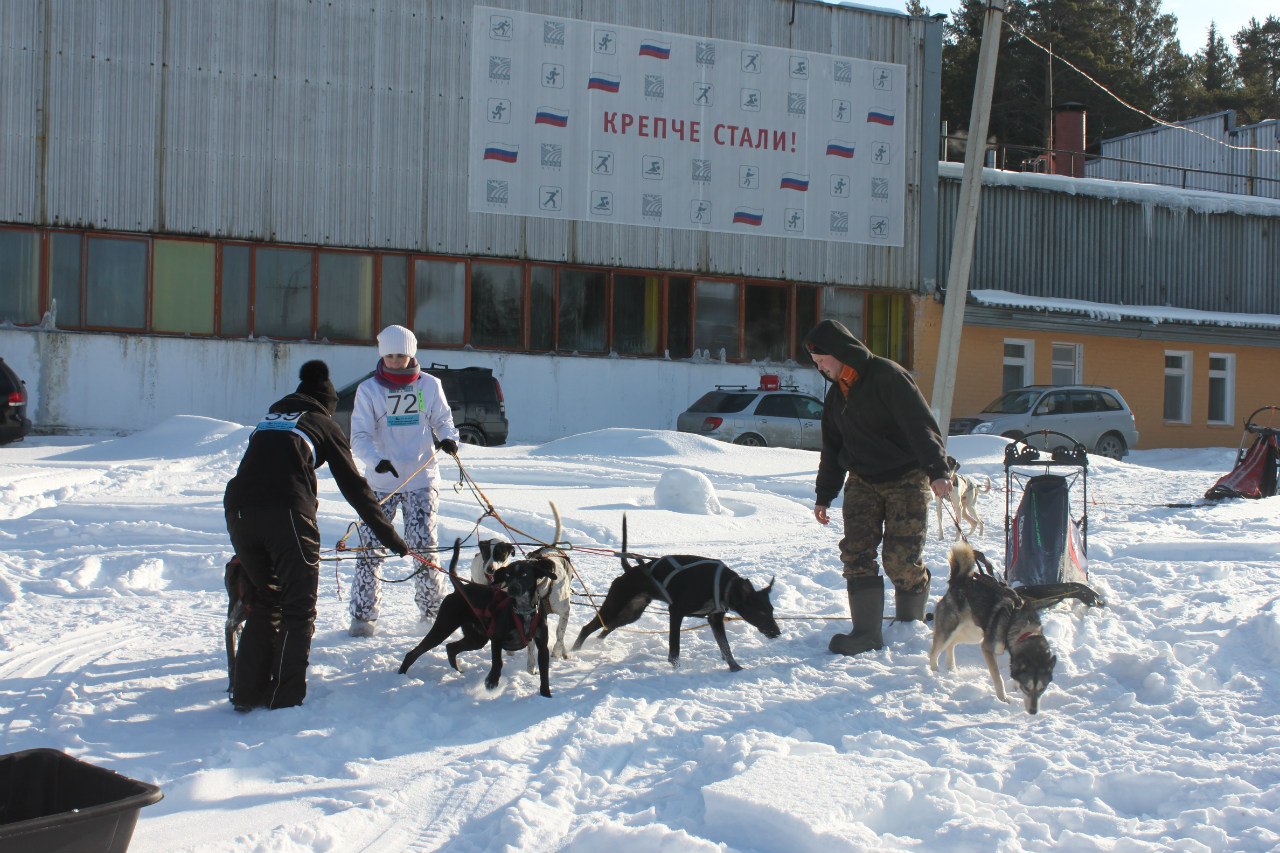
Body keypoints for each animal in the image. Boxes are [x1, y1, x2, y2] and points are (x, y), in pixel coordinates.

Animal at [399, 540, 555, 696]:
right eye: (508, 575)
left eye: (524, 574)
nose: (512, 589)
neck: (523, 611)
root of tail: (460, 589)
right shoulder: (496, 639)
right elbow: (498, 662)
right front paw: (492, 681)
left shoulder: (542, 646)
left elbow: (544, 671)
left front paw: (546, 694)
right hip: (443, 627)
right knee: (414, 653)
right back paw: (401, 674)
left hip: (477, 638)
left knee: (451, 647)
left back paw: (457, 670)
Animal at [573, 514, 778, 666]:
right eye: (761, 612)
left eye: (771, 611)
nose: (777, 632)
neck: (722, 585)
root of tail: (630, 570)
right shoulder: (676, 612)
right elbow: (675, 649)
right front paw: (675, 667)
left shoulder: (714, 619)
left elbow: (725, 648)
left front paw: (735, 668)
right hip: (614, 606)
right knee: (586, 628)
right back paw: (573, 651)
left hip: (631, 613)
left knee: (605, 629)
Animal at [931, 540, 1059, 712]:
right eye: (1027, 687)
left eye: (1042, 689)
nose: (1033, 711)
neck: (1024, 628)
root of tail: (958, 582)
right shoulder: (987, 648)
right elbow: (998, 678)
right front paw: (1003, 698)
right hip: (951, 630)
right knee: (934, 652)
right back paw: (934, 673)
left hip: (973, 633)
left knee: (952, 644)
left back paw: (951, 667)